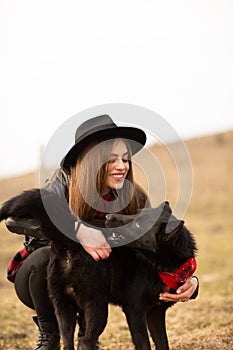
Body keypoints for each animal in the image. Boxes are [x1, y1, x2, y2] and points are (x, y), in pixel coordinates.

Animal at [0, 189, 197, 350]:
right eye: (136, 214)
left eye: (138, 225)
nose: (109, 217)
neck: (161, 265)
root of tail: (71, 243)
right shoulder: (135, 311)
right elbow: (144, 344)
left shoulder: (156, 313)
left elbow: (162, 343)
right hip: (97, 307)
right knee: (87, 341)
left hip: (64, 307)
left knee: (68, 342)